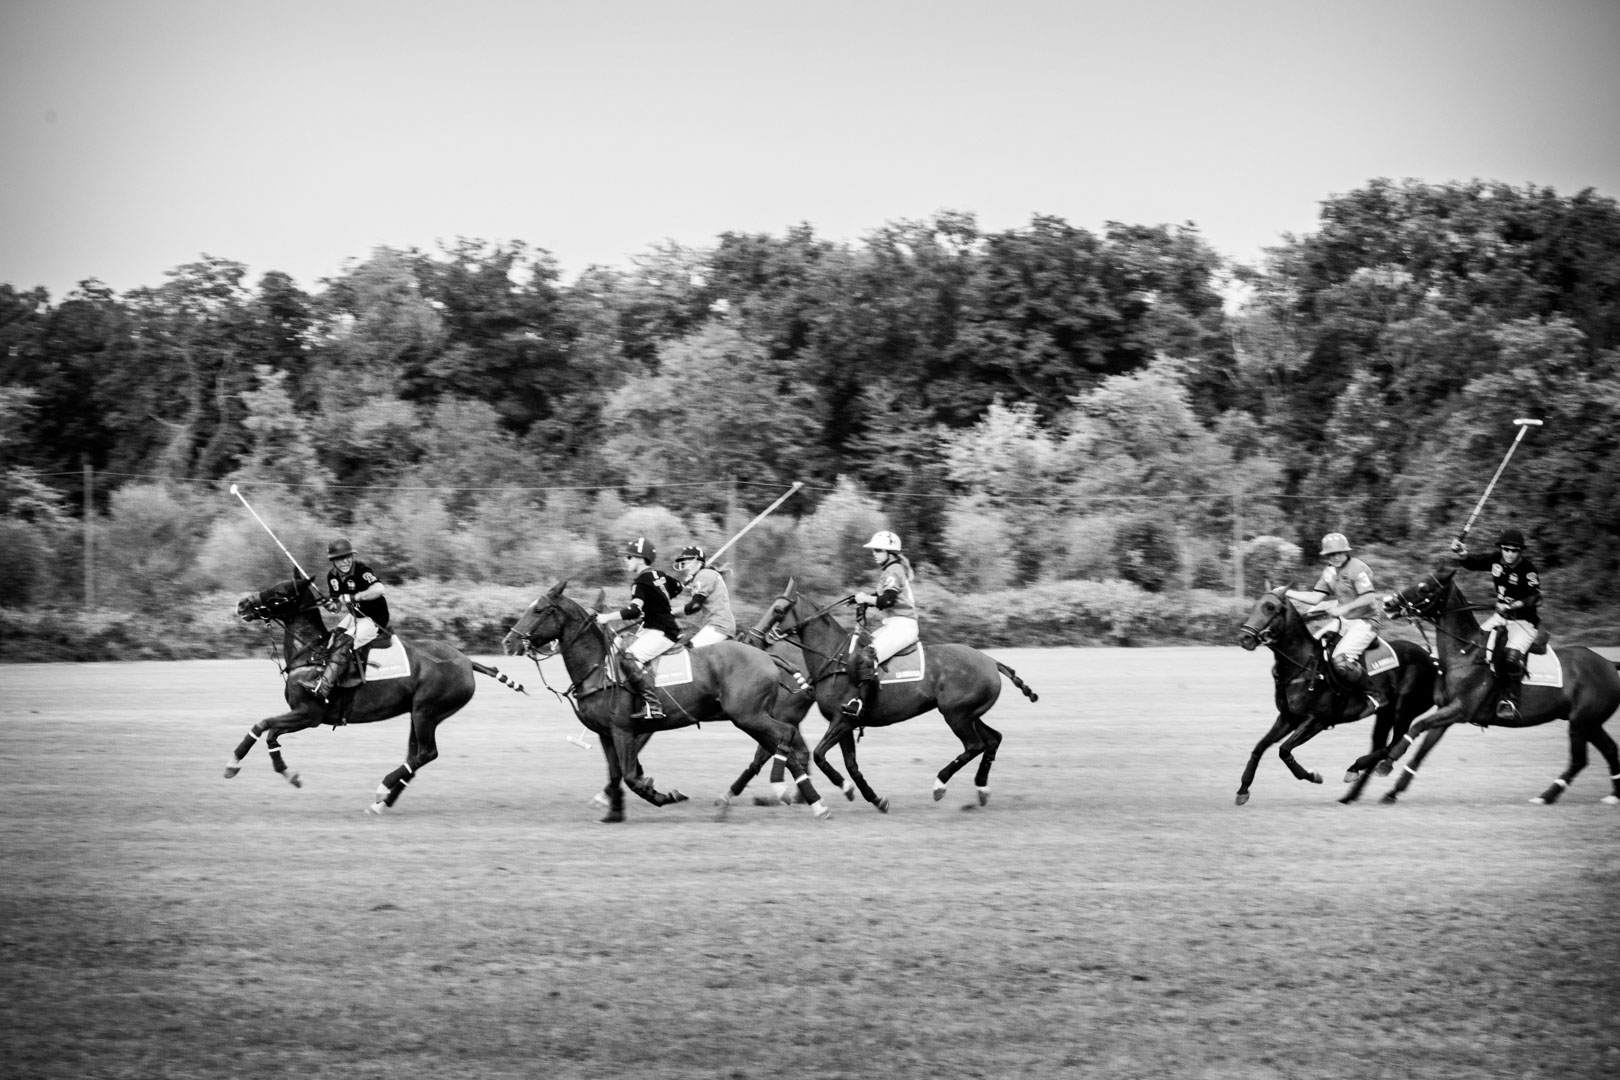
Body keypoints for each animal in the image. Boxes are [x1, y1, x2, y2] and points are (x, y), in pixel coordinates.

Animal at [228, 573, 524, 809]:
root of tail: (467, 661)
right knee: (415, 754)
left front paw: (249, 766)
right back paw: (382, 803)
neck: (312, 654)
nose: (242, 604)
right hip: (420, 714)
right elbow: (267, 729)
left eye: (279, 595)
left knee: (426, 753)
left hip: (427, 710)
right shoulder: (302, 715)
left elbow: (266, 727)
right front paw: (265, 769)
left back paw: (383, 788)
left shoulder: (309, 715)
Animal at [502, 586, 835, 822]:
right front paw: (612, 813)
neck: (598, 668)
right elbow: (616, 773)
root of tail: (768, 655)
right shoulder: (607, 733)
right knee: (783, 746)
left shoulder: (624, 730)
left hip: (750, 716)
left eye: (539, 609)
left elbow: (630, 775)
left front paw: (663, 795)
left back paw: (789, 793)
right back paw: (811, 802)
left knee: (783, 738)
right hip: (751, 718)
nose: (508, 642)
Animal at [758, 582, 1036, 809]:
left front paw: (846, 788)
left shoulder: (843, 720)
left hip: (956, 715)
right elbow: (850, 764)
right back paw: (981, 790)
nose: (759, 636)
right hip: (970, 714)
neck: (836, 659)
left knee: (974, 745)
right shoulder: (845, 723)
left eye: (778, 610)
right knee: (993, 740)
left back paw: (940, 785)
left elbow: (819, 754)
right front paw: (873, 798)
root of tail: (992, 662)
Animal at [1237, 586, 1445, 806]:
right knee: (1382, 745)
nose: (1245, 638)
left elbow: (1284, 750)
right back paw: (1350, 795)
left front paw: (1313, 776)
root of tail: (1434, 661)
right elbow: (1259, 747)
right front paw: (1243, 790)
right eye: (1256, 605)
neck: (1302, 664)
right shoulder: (1288, 717)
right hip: (1385, 715)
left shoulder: (1317, 720)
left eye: (1270, 607)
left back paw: (1355, 768)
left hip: (1405, 710)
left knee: (1396, 744)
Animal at [1367, 569, 1620, 806]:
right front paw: (1392, 792)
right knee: (1609, 749)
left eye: (1424, 588)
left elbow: (1416, 727)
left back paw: (1546, 796)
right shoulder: (1446, 713)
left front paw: (1387, 762)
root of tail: (1609, 663)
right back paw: (1613, 795)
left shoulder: (1460, 710)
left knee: (1579, 760)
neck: (1464, 653)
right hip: (1590, 723)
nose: (1388, 603)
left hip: (1580, 723)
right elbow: (1421, 752)